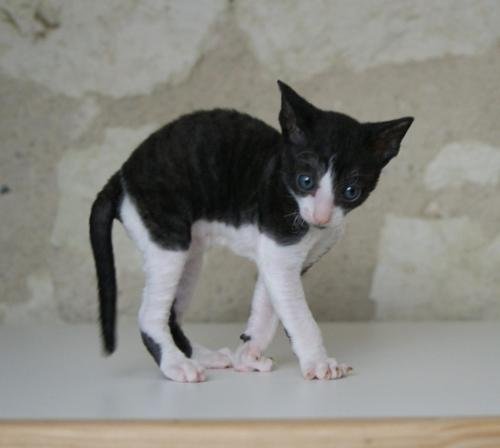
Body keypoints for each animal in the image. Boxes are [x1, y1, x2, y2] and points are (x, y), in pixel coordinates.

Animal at [90, 80, 414, 382]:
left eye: (350, 191)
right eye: (306, 181)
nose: (321, 216)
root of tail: (121, 175)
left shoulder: (283, 260)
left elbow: (266, 308)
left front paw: (248, 356)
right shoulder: (280, 254)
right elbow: (300, 317)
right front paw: (319, 362)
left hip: (190, 256)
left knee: (171, 314)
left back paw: (203, 357)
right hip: (169, 241)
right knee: (150, 315)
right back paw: (177, 366)